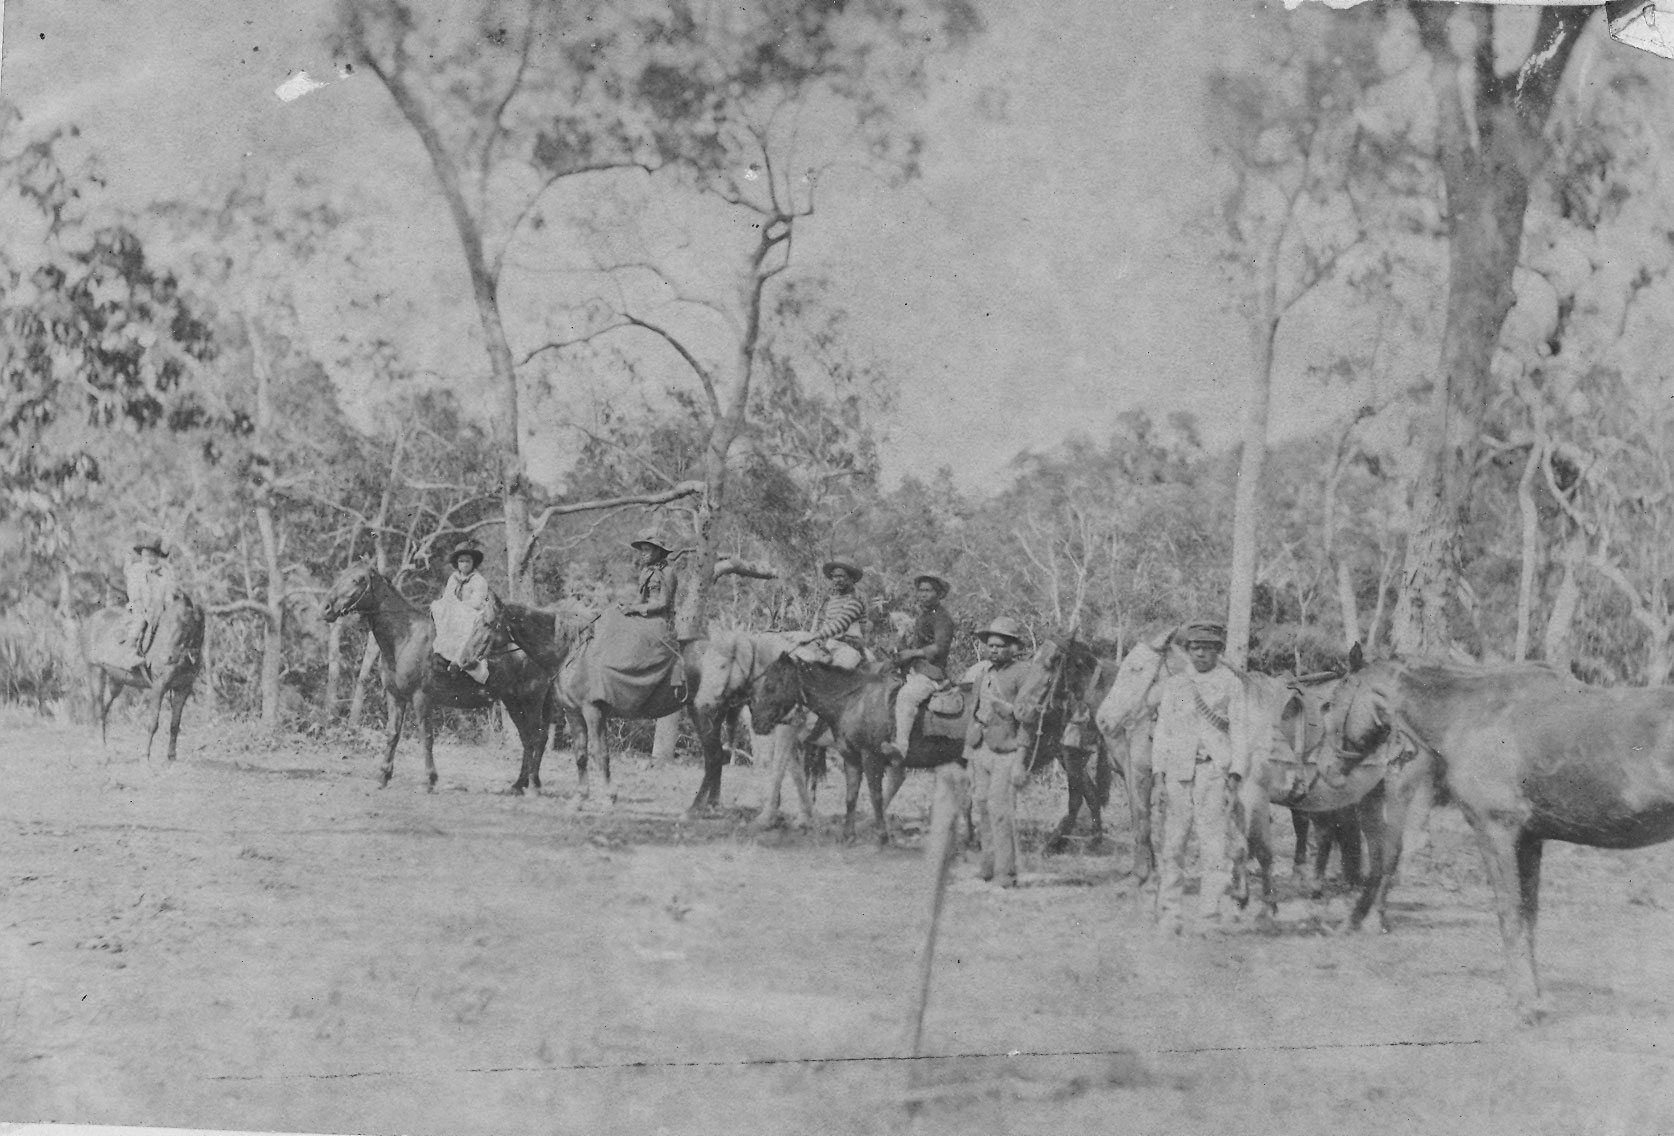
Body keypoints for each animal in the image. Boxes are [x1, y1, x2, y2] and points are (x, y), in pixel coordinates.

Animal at [80, 585, 204, 762]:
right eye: (168, 622)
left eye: (185, 623)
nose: (168, 657)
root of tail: (91, 620)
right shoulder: (158, 688)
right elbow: (153, 724)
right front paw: (146, 756)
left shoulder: (183, 689)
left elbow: (175, 724)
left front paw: (171, 757)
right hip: (95, 671)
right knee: (98, 709)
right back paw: (102, 748)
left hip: (117, 680)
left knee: (104, 709)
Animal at [316, 558, 565, 789]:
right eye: (342, 575)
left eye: (357, 580)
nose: (325, 608)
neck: (404, 638)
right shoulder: (395, 697)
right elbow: (392, 734)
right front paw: (384, 776)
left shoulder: (421, 697)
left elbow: (426, 737)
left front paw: (430, 779)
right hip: (513, 702)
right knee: (527, 738)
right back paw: (519, 784)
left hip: (531, 700)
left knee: (536, 737)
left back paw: (532, 783)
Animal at [1325, 649, 1667, 1023]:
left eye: (1334, 700)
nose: (1327, 769)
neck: (1471, 714)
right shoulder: (1529, 840)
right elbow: (1528, 917)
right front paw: (1535, 999)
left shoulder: (1495, 831)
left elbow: (1509, 912)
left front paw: (1523, 1005)